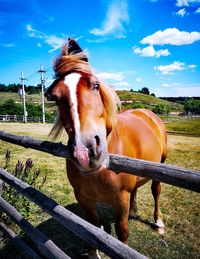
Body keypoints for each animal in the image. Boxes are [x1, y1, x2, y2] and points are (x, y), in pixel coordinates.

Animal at [45, 38, 167, 258]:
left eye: (95, 85)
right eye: (54, 97)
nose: (85, 152)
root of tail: (148, 113)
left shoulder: (120, 200)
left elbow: (122, 232)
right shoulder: (83, 197)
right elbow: (91, 228)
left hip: (160, 165)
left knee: (156, 190)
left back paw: (159, 221)